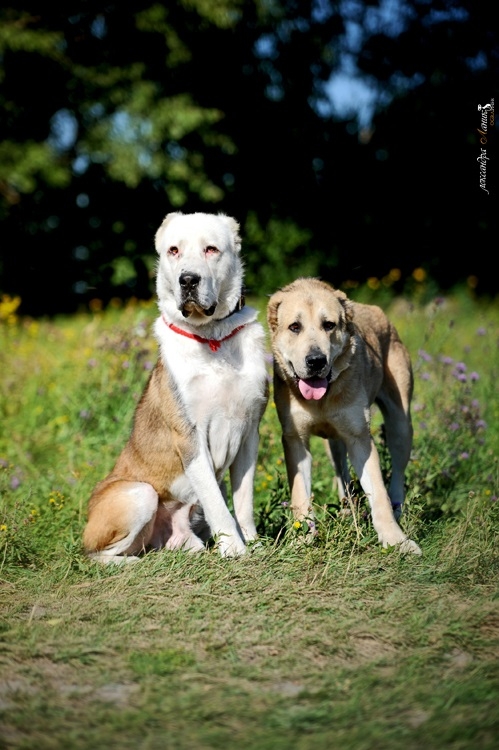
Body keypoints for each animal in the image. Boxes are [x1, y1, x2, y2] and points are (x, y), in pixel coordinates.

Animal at [83, 213, 270, 564]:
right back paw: (130, 563)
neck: (212, 337)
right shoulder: (190, 437)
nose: (189, 280)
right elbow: (217, 503)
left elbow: (244, 501)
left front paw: (253, 543)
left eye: (211, 249)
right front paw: (234, 550)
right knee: (96, 554)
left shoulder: (250, 432)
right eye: (173, 250)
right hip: (139, 495)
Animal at [270, 280, 422, 556]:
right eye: (295, 327)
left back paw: (397, 508)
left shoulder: (359, 438)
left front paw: (397, 541)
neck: (322, 399)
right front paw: (302, 540)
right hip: (333, 446)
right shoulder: (295, 439)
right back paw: (345, 510)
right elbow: (300, 496)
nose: (316, 361)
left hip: (400, 424)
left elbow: (378, 493)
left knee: (397, 472)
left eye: (329, 325)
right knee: (341, 472)